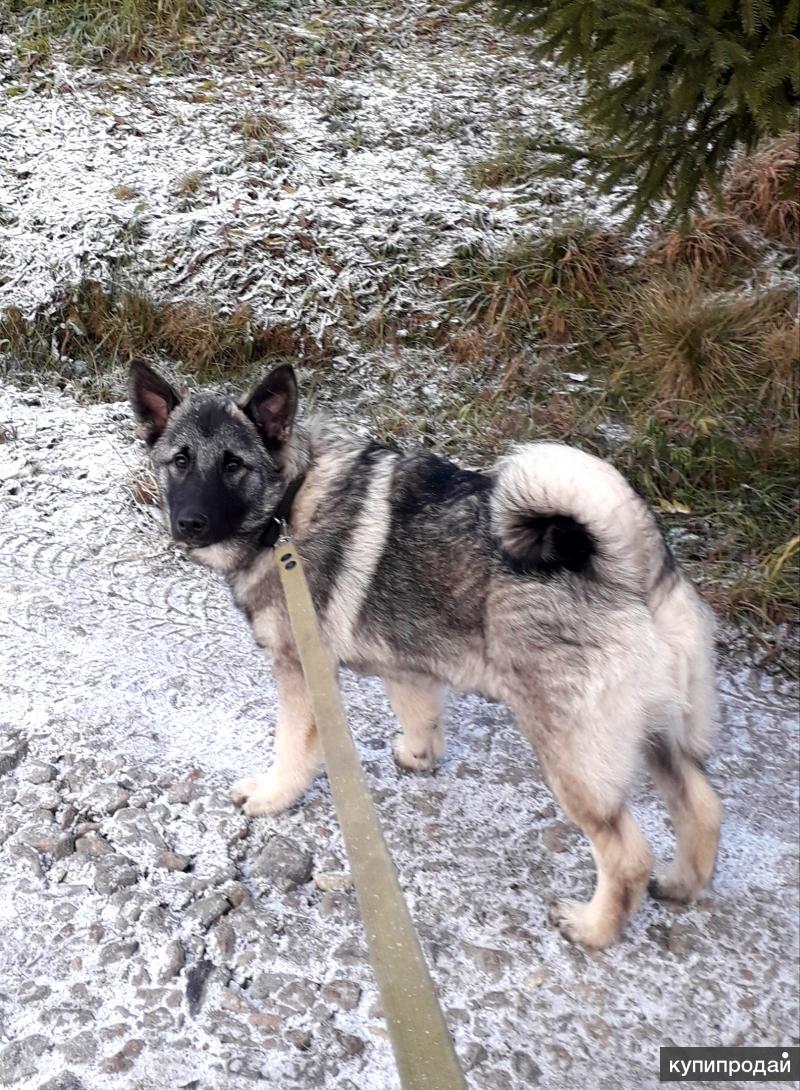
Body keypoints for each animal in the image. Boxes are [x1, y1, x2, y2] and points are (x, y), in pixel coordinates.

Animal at [128, 359, 723, 946]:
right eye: (180, 461)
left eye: (233, 465)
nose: (189, 523)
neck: (289, 503)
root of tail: (632, 566)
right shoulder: (405, 659)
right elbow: (418, 713)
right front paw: (419, 756)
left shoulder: (301, 672)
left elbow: (293, 751)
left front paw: (272, 796)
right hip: (660, 734)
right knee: (702, 807)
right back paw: (681, 883)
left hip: (573, 757)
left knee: (627, 854)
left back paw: (593, 927)